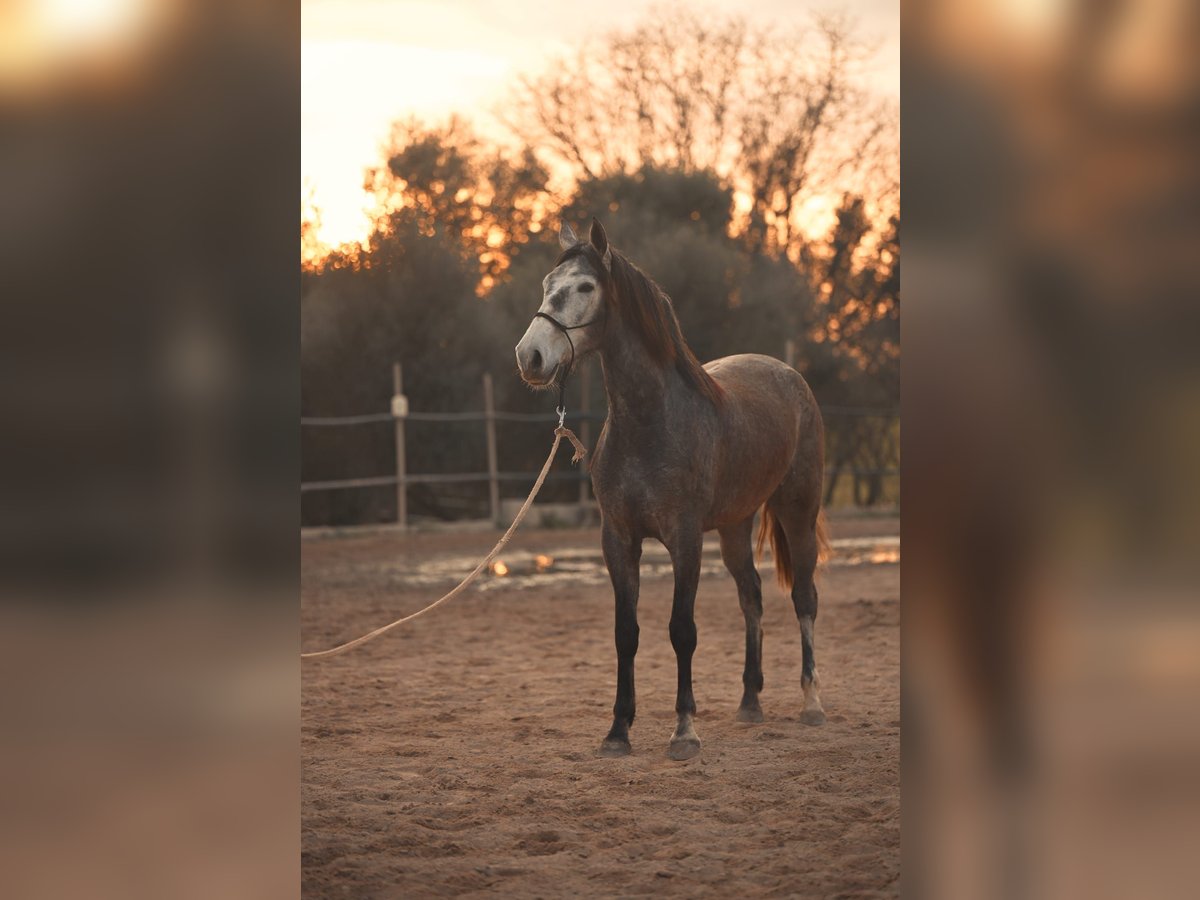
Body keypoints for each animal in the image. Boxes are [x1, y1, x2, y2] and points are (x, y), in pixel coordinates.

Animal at [511, 218, 830, 763]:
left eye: (585, 287)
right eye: (547, 286)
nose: (529, 357)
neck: (650, 420)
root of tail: (790, 374)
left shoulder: (685, 540)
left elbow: (682, 631)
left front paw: (685, 732)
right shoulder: (618, 540)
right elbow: (626, 633)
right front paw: (618, 731)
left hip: (798, 513)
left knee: (803, 598)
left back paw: (812, 704)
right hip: (734, 527)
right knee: (752, 597)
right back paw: (749, 703)